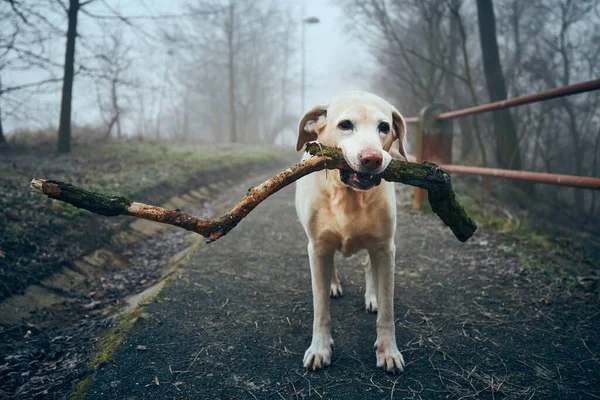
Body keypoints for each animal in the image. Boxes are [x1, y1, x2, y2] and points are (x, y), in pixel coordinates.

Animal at [294, 92, 410, 374]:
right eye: (345, 125)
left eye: (384, 127)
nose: (372, 159)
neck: (348, 195)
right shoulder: (317, 247)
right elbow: (320, 308)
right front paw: (319, 349)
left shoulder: (385, 247)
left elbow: (387, 310)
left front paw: (388, 351)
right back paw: (334, 284)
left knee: (369, 265)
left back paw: (371, 297)